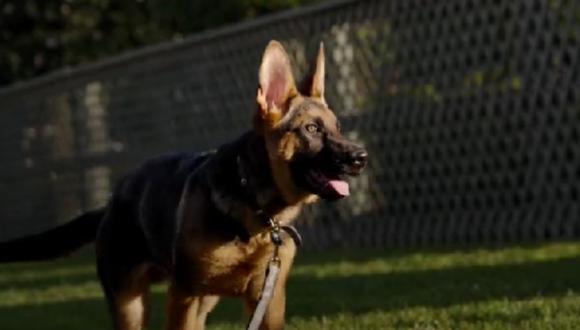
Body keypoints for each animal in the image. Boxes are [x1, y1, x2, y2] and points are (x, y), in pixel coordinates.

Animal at [1, 40, 368, 328]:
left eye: (337, 128)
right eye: (312, 130)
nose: (361, 157)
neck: (255, 209)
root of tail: (112, 202)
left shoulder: (268, 300)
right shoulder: (184, 294)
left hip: (198, 302)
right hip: (131, 305)